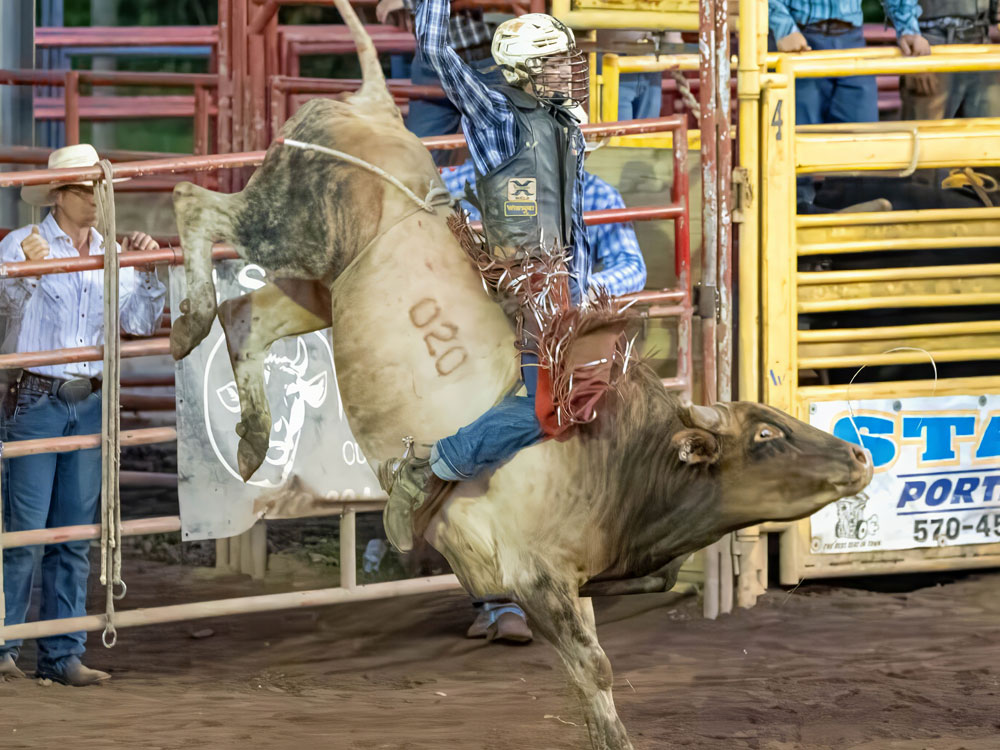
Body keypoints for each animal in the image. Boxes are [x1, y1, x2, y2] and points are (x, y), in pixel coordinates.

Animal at [167, 2, 873, 747]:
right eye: (766, 436)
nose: (860, 457)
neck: (619, 456)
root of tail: (372, 106)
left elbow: (588, 674)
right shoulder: (538, 575)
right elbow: (593, 669)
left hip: (319, 289)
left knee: (244, 317)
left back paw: (250, 435)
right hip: (291, 224)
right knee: (196, 202)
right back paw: (187, 324)